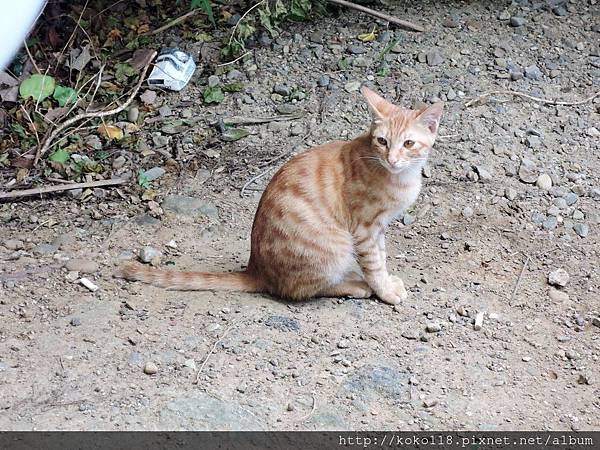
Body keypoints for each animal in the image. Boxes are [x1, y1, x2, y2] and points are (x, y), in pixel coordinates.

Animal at [117, 87, 442, 306]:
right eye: (382, 141)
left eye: (408, 143)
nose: (392, 159)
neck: (400, 176)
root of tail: (256, 269)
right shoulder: (364, 229)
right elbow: (374, 264)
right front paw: (384, 290)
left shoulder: (380, 228)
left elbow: (382, 257)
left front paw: (387, 280)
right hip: (336, 246)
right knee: (301, 289)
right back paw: (353, 285)